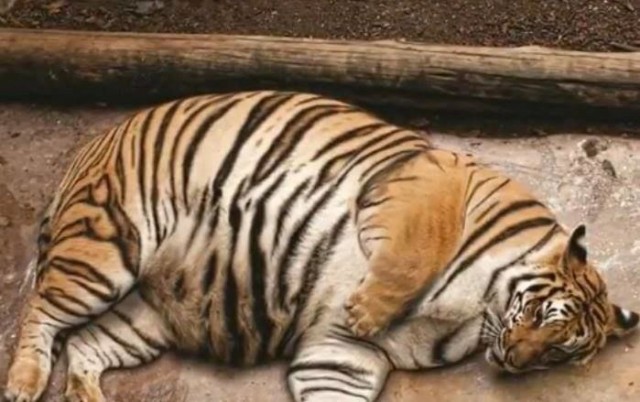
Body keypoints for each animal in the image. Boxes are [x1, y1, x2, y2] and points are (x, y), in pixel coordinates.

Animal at [4, 90, 638, 402]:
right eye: (538, 315)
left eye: (558, 352)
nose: (514, 361)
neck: (481, 314)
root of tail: (94, 144)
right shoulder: (427, 178)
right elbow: (416, 250)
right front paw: (368, 308)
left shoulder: (345, 355)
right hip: (106, 250)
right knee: (40, 312)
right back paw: (22, 383)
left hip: (145, 316)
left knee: (83, 345)